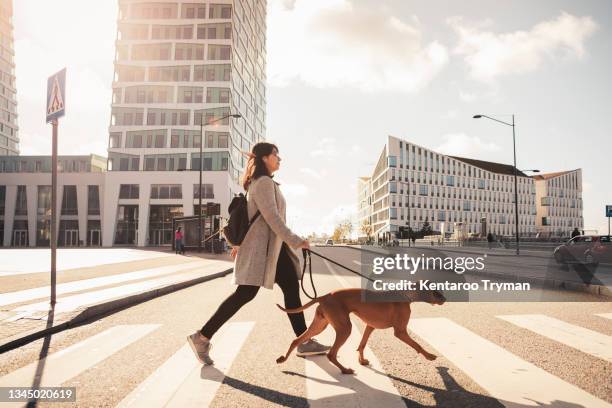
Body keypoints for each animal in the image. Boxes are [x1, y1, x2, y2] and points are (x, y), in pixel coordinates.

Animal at [276, 286, 444, 372]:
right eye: (436, 292)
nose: (445, 299)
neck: (405, 295)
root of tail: (325, 296)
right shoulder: (400, 332)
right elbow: (417, 345)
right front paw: (429, 355)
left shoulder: (370, 327)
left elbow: (362, 345)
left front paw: (361, 360)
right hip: (345, 328)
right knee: (331, 354)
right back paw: (344, 370)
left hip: (320, 325)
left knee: (296, 340)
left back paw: (283, 358)